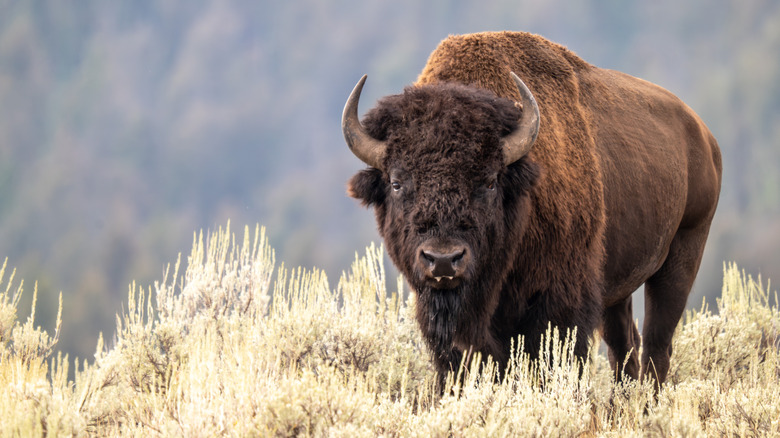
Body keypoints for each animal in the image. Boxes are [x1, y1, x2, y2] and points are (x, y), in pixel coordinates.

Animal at [342, 31, 722, 389]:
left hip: (682, 255)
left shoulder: (560, 304)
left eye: (490, 181)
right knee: (624, 347)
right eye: (396, 182)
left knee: (657, 347)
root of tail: (703, 135)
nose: (444, 260)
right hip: (618, 286)